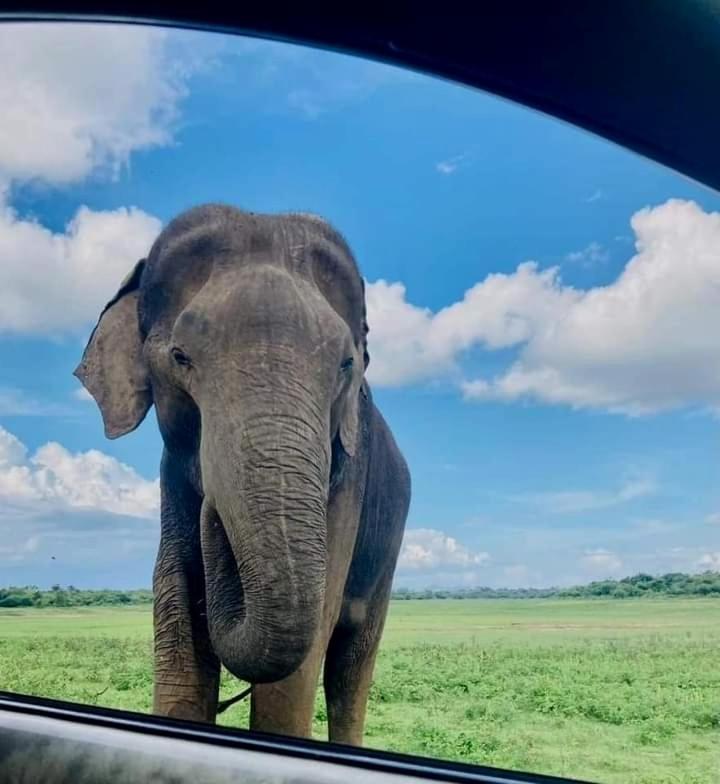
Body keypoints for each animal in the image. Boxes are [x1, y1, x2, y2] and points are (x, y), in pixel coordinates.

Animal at [74, 205, 410, 744]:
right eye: (180, 357)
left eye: (345, 365)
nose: (215, 514)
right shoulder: (172, 473)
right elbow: (176, 604)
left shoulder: (347, 480)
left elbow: (304, 653)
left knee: (350, 665)